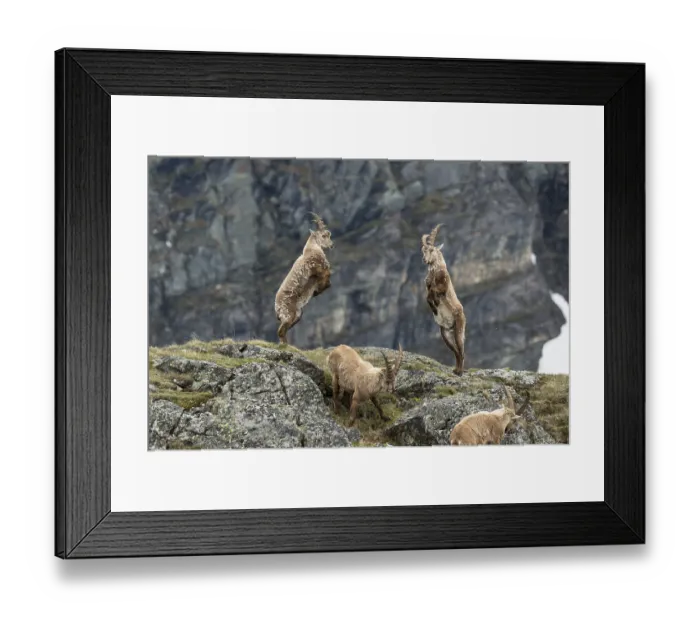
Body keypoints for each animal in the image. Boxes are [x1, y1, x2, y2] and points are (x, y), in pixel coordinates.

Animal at [274, 213, 333, 345]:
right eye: (324, 235)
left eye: (329, 234)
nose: (331, 245)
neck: (311, 249)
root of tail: (277, 307)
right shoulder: (318, 269)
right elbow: (327, 278)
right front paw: (319, 290)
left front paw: (317, 291)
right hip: (288, 313)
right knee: (281, 331)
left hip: (297, 314)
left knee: (284, 330)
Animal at [421, 224, 467, 375]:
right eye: (422, 250)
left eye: (431, 249)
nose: (424, 260)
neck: (436, 271)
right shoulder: (428, 286)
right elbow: (427, 296)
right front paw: (434, 308)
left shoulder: (442, 287)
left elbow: (433, 293)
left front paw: (435, 304)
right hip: (445, 334)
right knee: (456, 352)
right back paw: (456, 369)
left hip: (459, 329)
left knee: (461, 351)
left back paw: (460, 371)